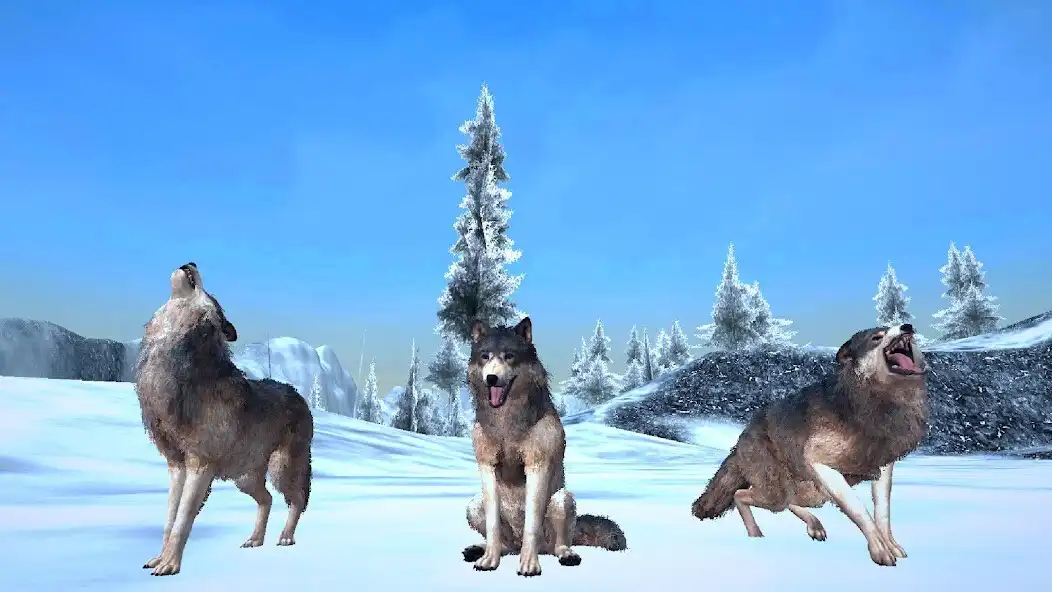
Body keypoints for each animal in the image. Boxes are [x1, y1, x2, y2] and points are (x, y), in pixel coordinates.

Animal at [134, 262, 314, 576]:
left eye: (211, 294)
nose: (191, 262)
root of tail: (298, 394)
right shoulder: (175, 466)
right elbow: (169, 520)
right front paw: (158, 559)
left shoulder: (200, 465)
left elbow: (183, 520)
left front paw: (170, 565)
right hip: (245, 478)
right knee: (267, 500)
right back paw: (255, 539)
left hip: (281, 469)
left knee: (298, 499)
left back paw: (285, 537)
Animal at [461, 317, 627, 577]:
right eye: (485, 356)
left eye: (509, 356)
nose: (492, 378)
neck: (506, 423)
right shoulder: (486, 466)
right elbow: (493, 526)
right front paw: (489, 560)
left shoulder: (537, 466)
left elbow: (532, 523)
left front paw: (529, 565)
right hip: (473, 504)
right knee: (506, 545)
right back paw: (481, 549)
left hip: (562, 498)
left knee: (558, 544)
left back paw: (566, 555)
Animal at [691, 323, 929, 567]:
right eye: (877, 337)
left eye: (897, 324)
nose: (907, 327)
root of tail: (740, 441)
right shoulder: (820, 463)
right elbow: (858, 509)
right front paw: (879, 550)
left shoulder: (883, 466)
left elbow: (883, 512)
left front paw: (891, 545)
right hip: (777, 492)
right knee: (741, 495)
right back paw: (756, 535)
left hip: (810, 492)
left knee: (788, 501)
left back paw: (814, 525)